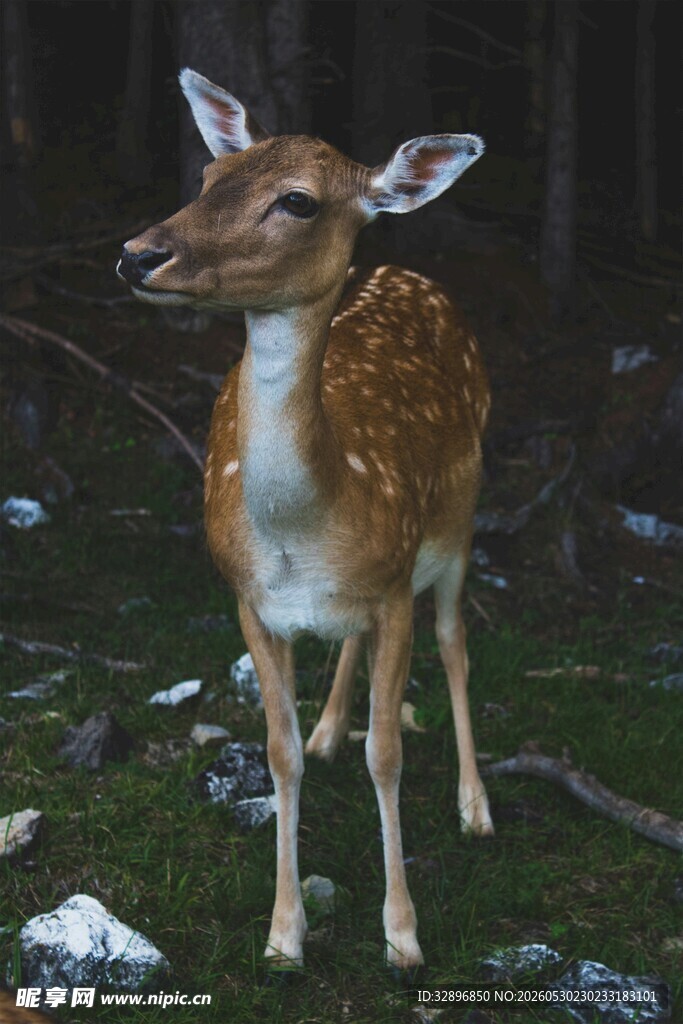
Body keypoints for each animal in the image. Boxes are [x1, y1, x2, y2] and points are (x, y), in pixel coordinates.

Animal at [117, 69, 493, 973]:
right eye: (210, 176)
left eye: (297, 201)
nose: (138, 254)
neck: (306, 529)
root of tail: (412, 275)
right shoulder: (249, 600)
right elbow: (277, 754)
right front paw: (284, 935)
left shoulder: (393, 585)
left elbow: (387, 753)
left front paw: (402, 936)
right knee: (354, 652)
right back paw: (329, 729)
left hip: (458, 521)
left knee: (454, 640)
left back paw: (476, 808)